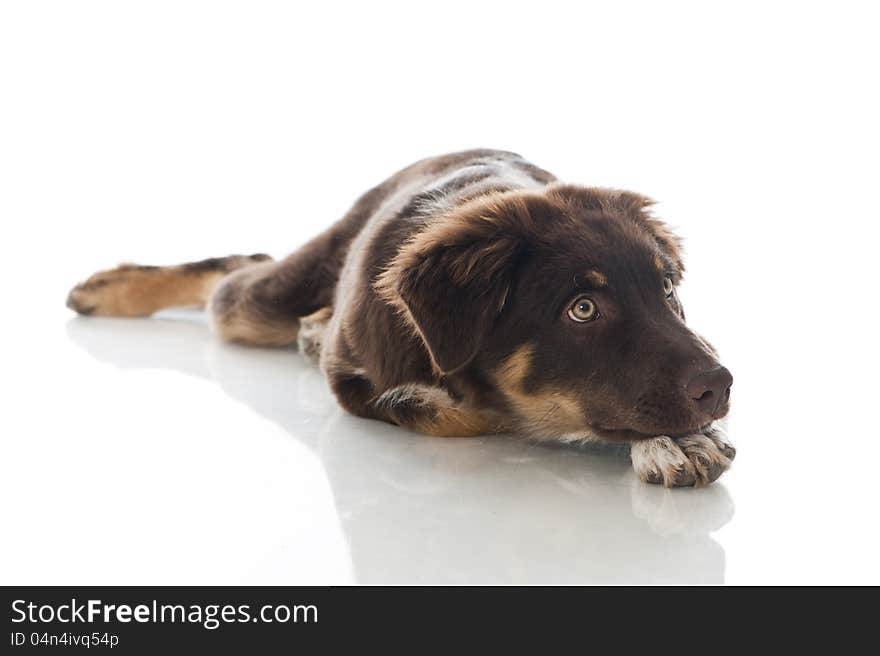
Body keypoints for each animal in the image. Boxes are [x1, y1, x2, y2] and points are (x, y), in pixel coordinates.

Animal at [67, 150, 736, 486]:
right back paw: (106, 289)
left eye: (668, 289)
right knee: (238, 272)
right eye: (583, 309)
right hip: (258, 306)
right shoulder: (361, 383)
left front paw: (685, 439)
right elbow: (452, 411)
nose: (720, 386)